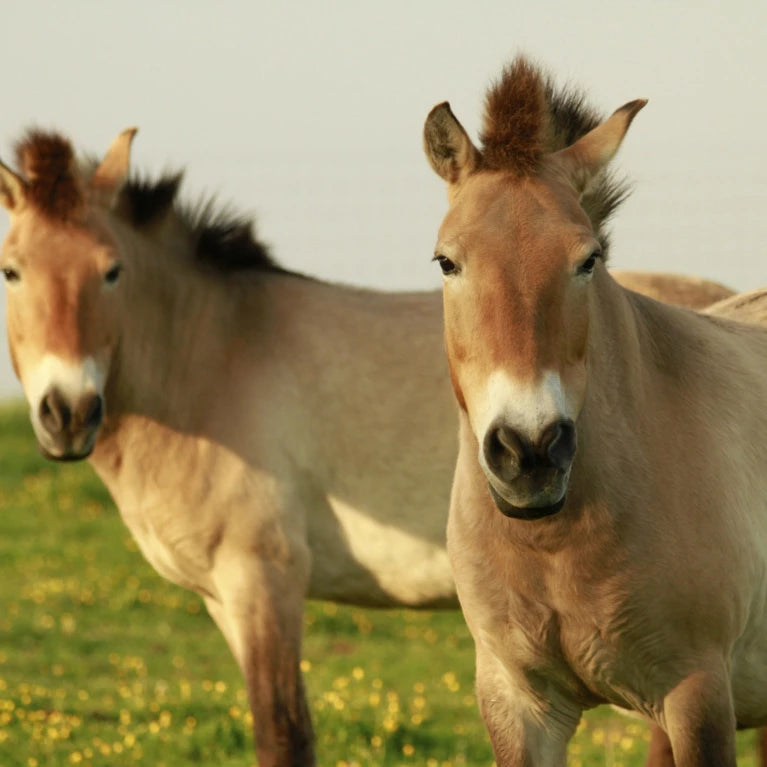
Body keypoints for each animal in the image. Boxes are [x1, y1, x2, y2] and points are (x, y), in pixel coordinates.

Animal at [0, 123, 756, 764]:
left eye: (111, 271)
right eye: (12, 271)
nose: (67, 412)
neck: (217, 355)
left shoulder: (264, 579)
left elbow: (282, 734)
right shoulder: (225, 600)